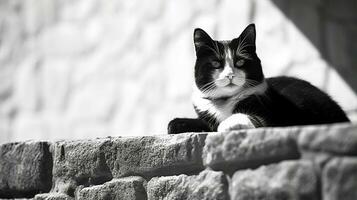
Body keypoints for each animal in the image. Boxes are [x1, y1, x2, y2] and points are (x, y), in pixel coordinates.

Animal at [167, 23, 348, 134]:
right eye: (216, 63)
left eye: (240, 61)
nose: (230, 74)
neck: (224, 101)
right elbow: (203, 123)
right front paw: (176, 123)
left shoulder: (269, 115)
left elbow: (244, 118)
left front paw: (225, 125)